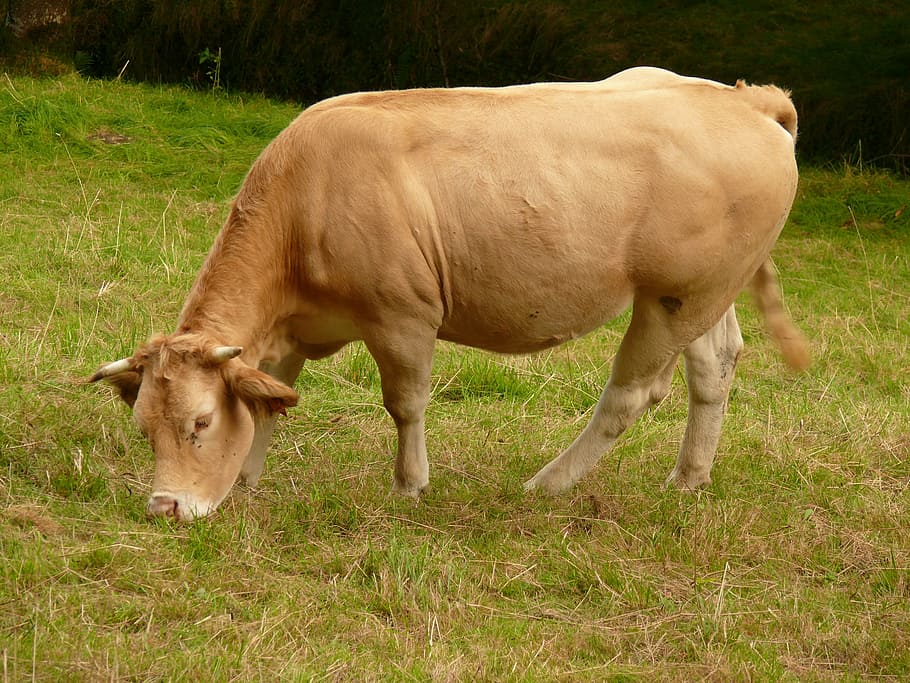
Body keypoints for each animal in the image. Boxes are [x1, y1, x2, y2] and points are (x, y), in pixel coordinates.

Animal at [87, 67, 812, 520]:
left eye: (200, 423)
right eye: (144, 427)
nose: (164, 507)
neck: (308, 198)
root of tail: (741, 99)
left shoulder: (402, 317)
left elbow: (405, 403)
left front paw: (410, 486)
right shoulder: (292, 327)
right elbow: (273, 398)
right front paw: (249, 481)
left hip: (674, 297)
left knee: (633, 392)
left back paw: (545, 484)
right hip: (705, 293)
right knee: (713, 366)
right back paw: (688, 479)